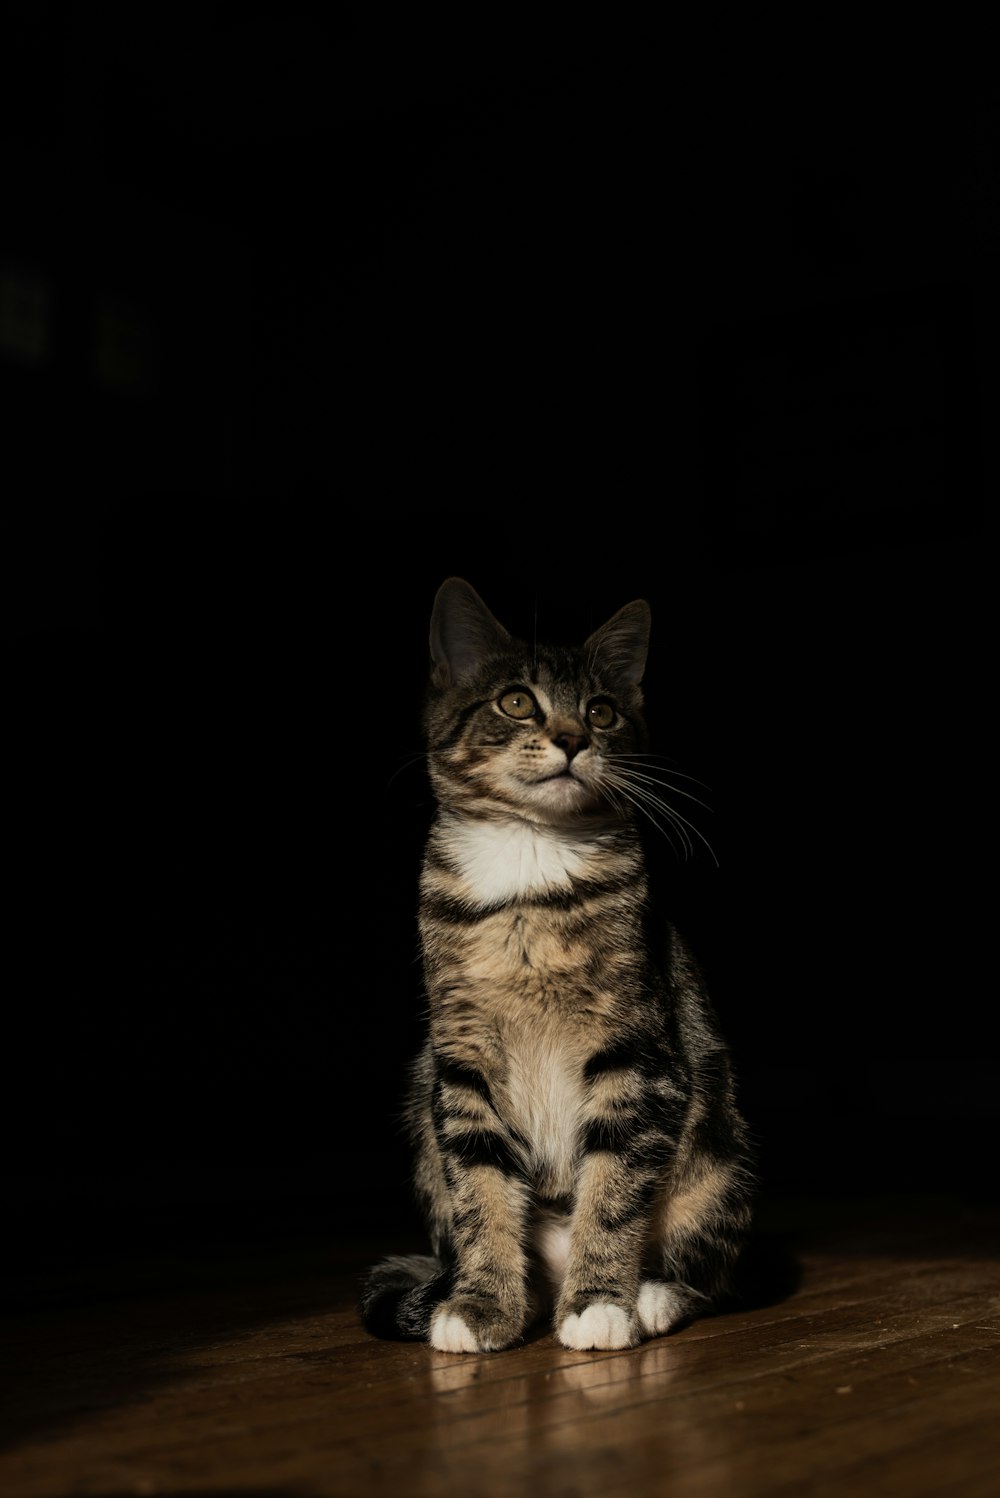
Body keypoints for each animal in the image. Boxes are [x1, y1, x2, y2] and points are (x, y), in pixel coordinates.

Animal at [354, 578, 754, 1354]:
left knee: (709, 1268)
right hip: (423, 1115)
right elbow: (478, 1187)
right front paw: (482, 1304)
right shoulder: (461, 1056)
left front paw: (599, 1303)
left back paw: (647, 1295)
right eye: (517, 701)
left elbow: (614, 1185)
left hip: (717, 1159)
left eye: (601, 711)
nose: (573, 738)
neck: (529, 868)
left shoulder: (636, 1050)